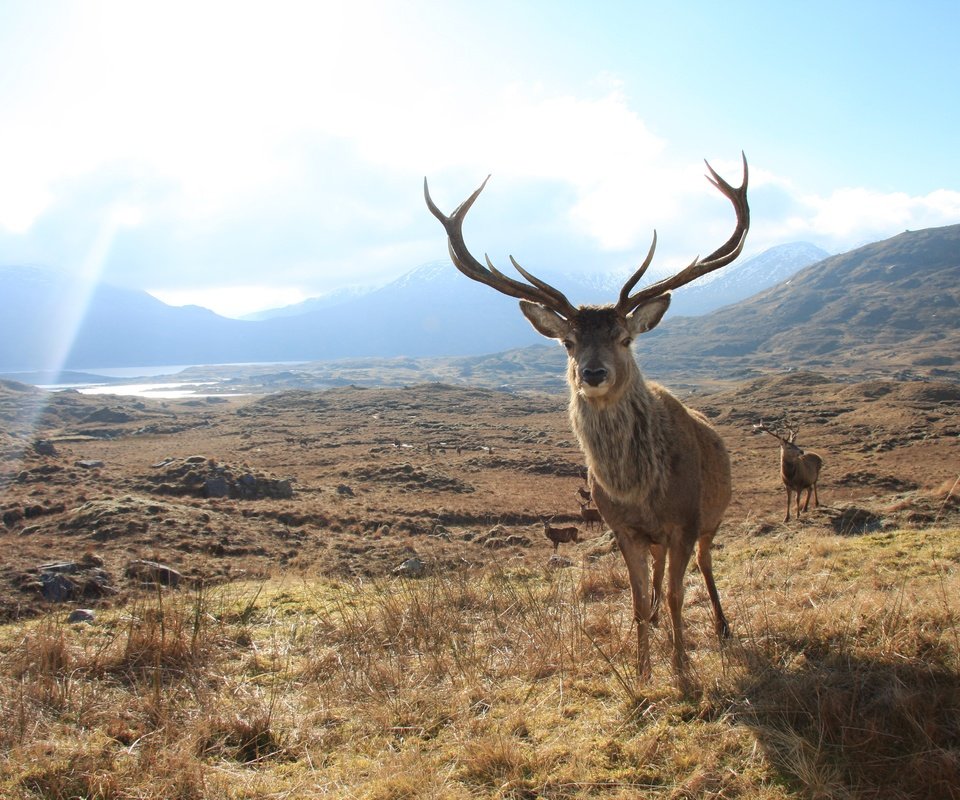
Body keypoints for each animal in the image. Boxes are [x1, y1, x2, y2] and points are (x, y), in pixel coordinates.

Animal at [428, 153, 752, 680]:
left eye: (625, 337)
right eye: (568, 341)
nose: (593, 373)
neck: (639, 489)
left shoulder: (685, 520)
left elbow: (680, 594)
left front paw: (682, 668)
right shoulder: (622, 528)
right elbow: (638, 600)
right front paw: (642, 670)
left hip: (713, 517)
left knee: (705, 566)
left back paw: (723, 627)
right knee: (659, 576)